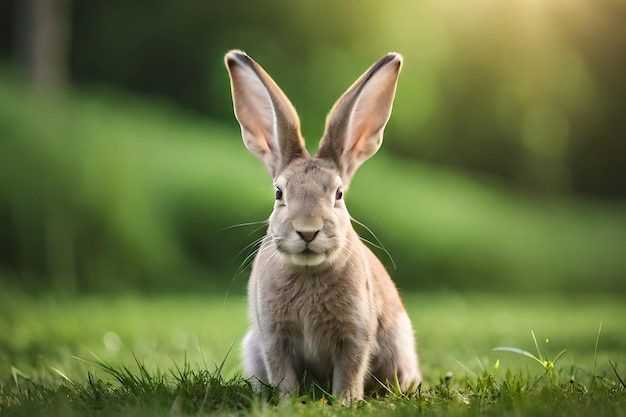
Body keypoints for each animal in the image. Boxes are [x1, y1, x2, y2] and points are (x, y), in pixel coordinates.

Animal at [223, 49, 420, 404]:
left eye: (338, 194)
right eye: (279, 193)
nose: (307, 230)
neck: (308, 270)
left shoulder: (355, 335)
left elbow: (349, 372)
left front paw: (346, 402)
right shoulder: (274, 337)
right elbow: (283, 374)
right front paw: (287, 403)